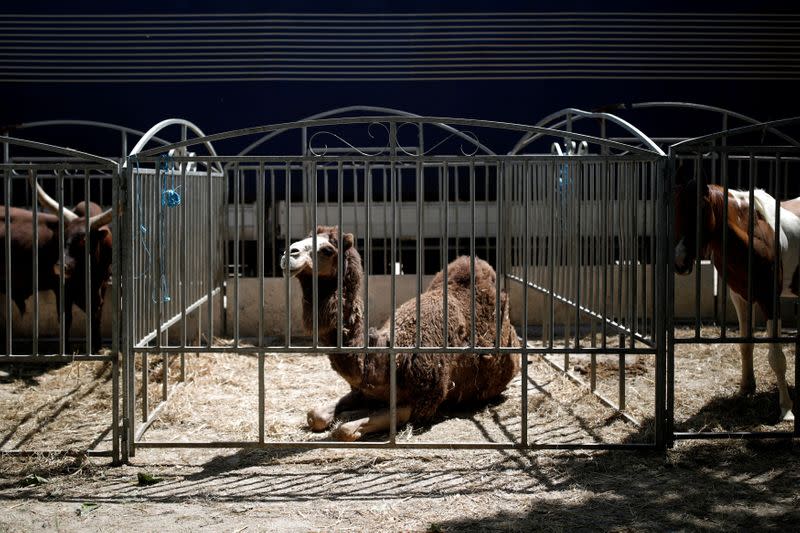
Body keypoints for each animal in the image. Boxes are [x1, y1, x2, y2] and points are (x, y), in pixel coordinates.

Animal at [0, 182, 113, 354]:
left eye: (84, 239)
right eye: (63, 237)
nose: (60, 266)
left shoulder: (102, 287)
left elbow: (96, 316)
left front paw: (98, 348)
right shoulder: (63, 289)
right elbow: (66, 319)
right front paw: (65, 350)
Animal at [278, 225, 520, 440]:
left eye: (328, 250)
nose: (289, 253)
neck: (388, 359)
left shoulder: (423, 402)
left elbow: (344, 430)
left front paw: (347, 420)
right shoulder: (362, 391)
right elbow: (315, 415)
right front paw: (342, 414)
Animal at [676, 168, 800, 422]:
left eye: (700, 210)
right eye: (677, 208)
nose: (680, 262)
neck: (756, 236)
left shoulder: (769, 300)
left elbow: (777, 358)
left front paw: (786, 409)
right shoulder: (741, 297)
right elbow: (745, 344)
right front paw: (746, 388)